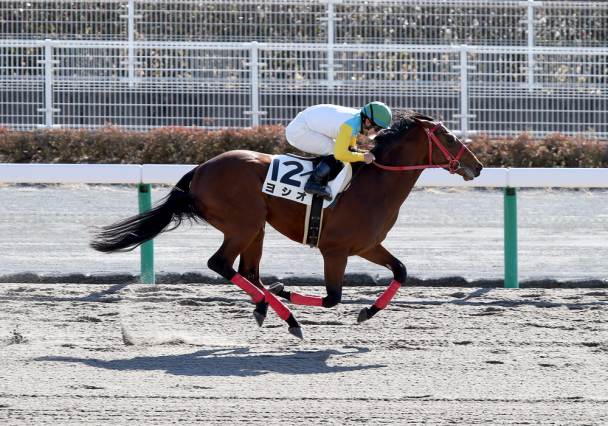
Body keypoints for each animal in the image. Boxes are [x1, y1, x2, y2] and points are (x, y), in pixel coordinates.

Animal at [90, 110, 482, 340]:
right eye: (449, 138)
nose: (477, 167)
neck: (375, 184)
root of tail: (200, 169)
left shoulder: (367, 245)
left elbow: (400, 271)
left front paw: (367, 312)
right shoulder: (335, 250)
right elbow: (332, 298)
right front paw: (288, 292)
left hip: (256, 227)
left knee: (248, 271)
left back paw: (267, 307)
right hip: (243, 224)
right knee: (221, 264)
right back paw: (286, 314)